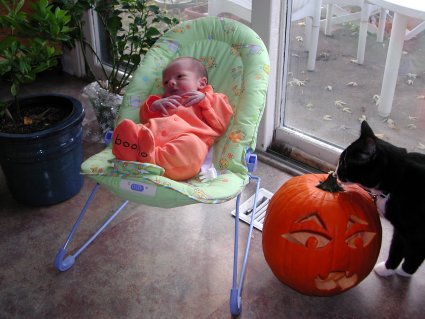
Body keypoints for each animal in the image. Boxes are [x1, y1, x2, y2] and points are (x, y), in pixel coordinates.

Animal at [336, 120, 424, 278]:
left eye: (344, 164)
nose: (335, 172)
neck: (398, 179)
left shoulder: (418, 234)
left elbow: (414, 255)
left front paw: (404, 272)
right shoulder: (400, 230)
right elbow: (396, 250)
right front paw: (387, 269)